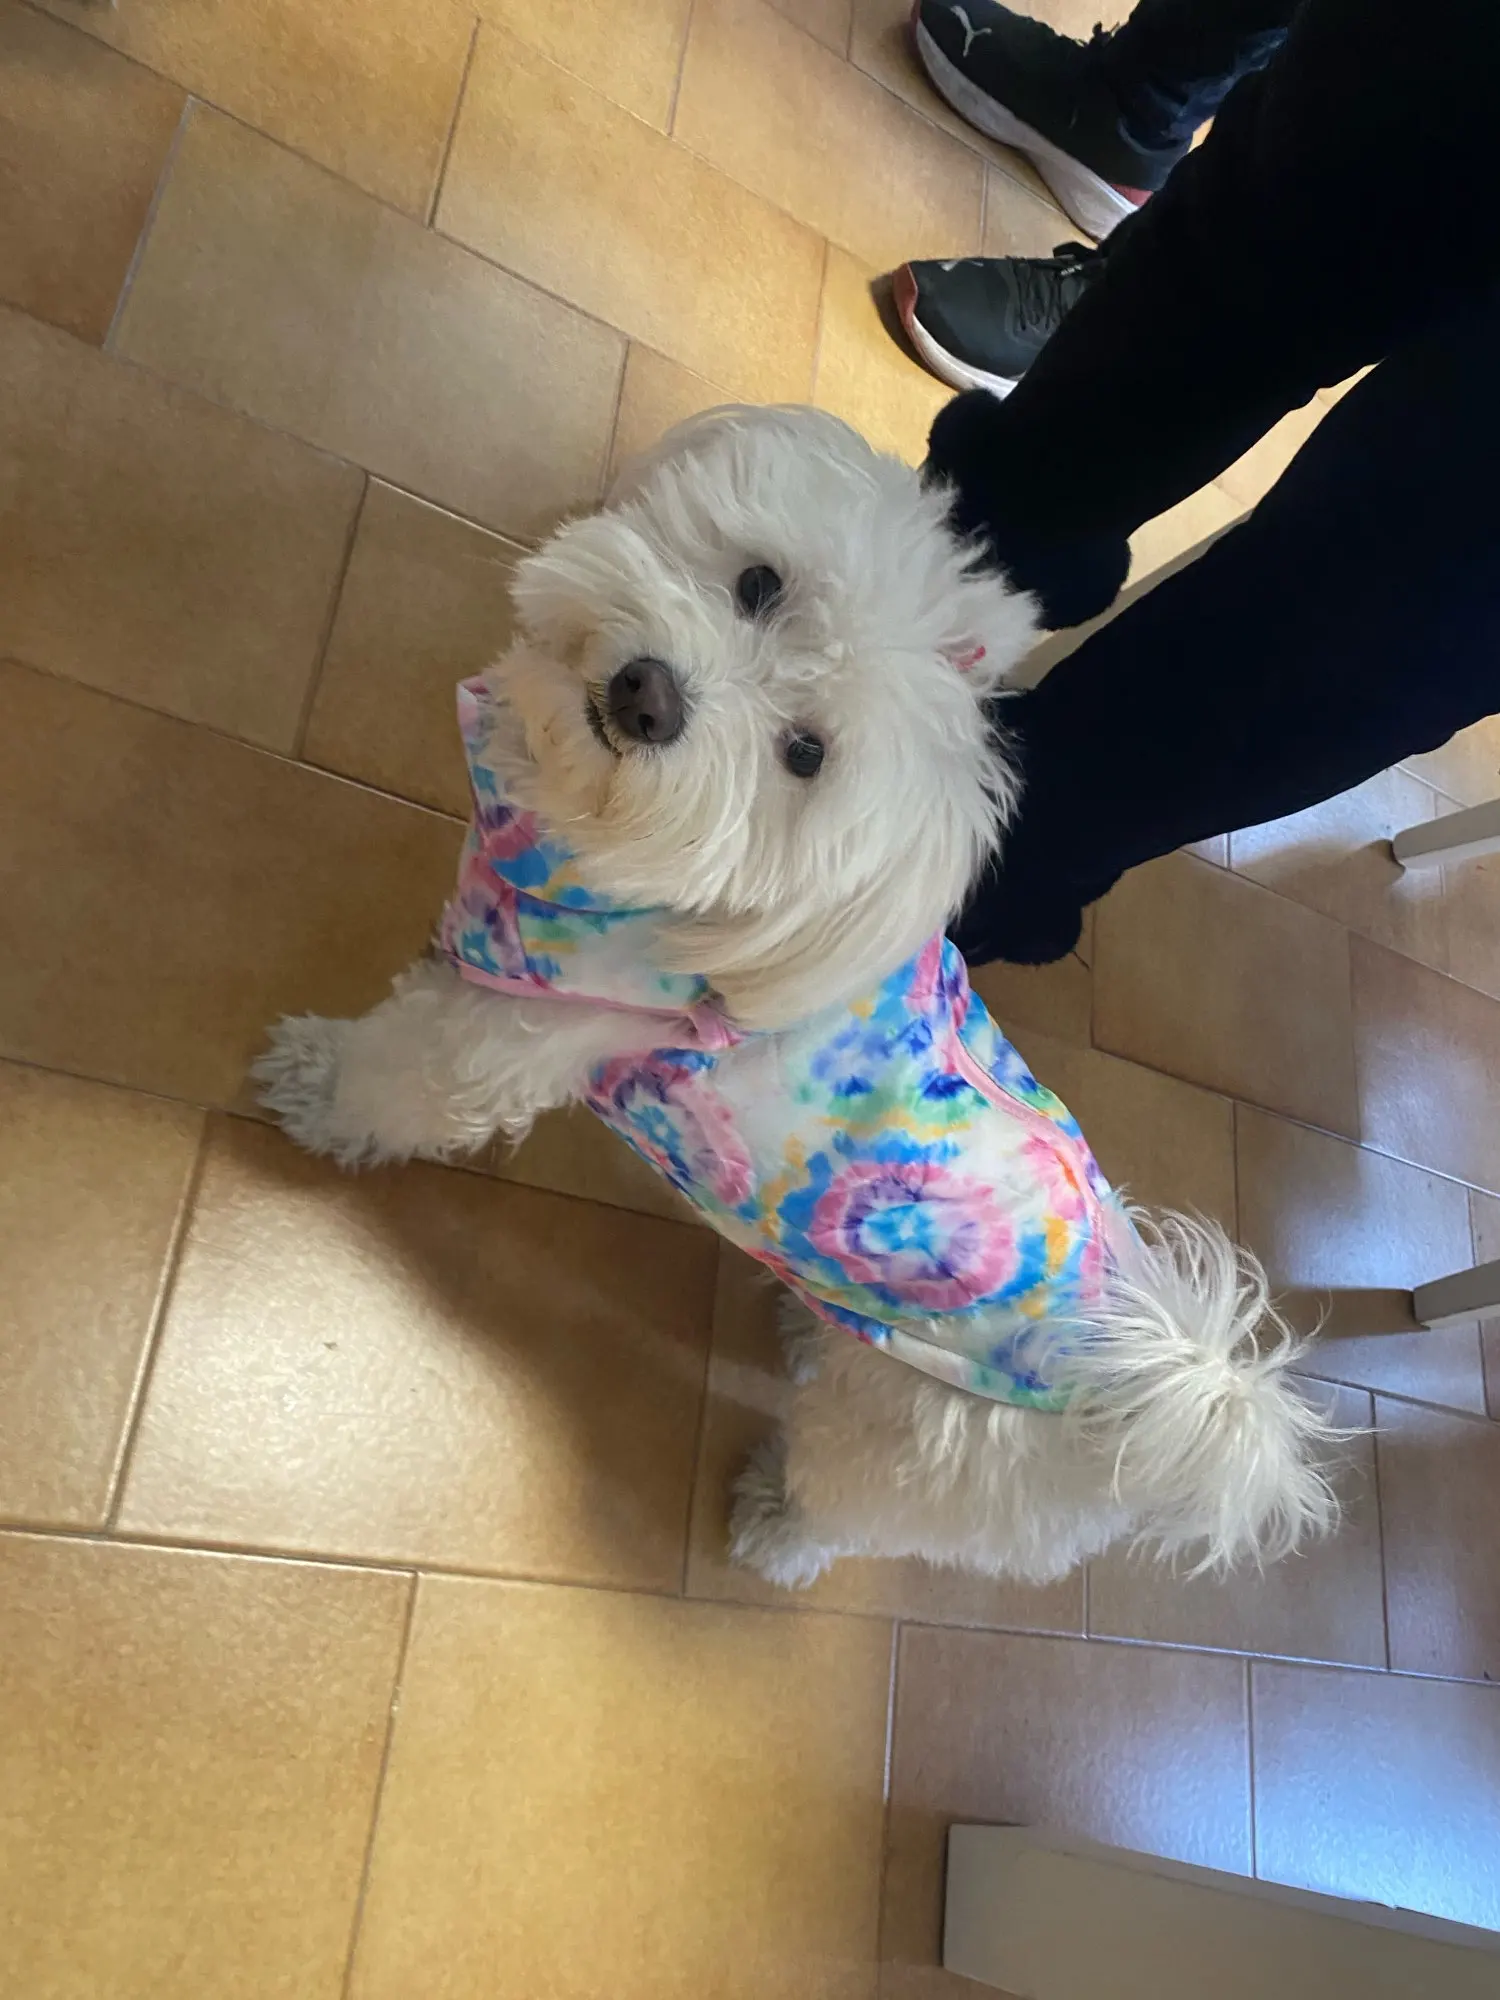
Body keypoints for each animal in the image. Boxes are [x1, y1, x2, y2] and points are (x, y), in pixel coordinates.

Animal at [255, 405, 1339, 1588]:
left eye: (805, 754)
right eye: (760, 583)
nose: (647, 694)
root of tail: (1180, 1395)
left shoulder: (519, 1025)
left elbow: (400, 1075)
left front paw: (313, 1083)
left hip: (905, 1450)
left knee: (845, 1509)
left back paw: (777, 1522)